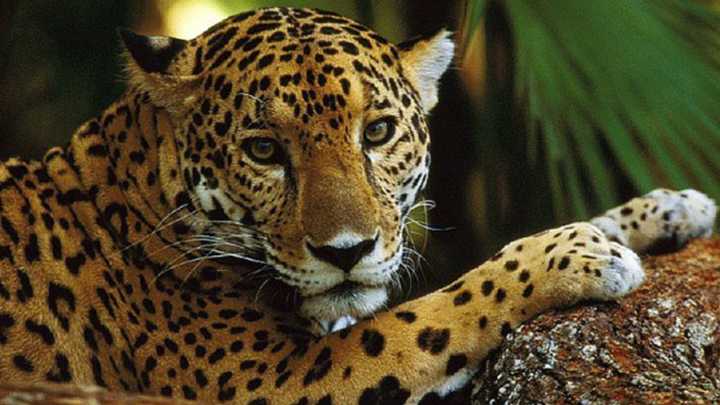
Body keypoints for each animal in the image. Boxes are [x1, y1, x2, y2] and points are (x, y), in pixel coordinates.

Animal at [0, 6, 716, 404]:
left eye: (377, 132)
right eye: (263, 150)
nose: (346, 252)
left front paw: (664, 210)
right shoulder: (269, 380)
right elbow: (447, 308)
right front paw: (571, 258)